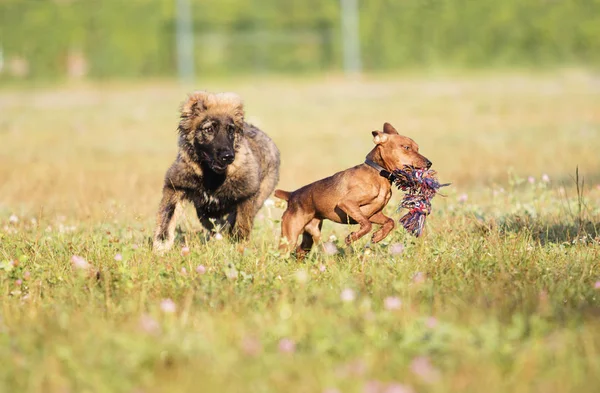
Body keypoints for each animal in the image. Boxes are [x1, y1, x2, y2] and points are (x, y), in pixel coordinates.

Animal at [152, 90, 278, 253]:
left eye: (231, 130)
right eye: (209, 129)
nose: (228, 157)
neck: (212, 176)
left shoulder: (247, 195)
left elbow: (241, 224)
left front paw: (239, 246)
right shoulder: (176, 186)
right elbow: (167, 216)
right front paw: (161, 246)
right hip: (204, 209)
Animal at [274, 123, 434, 258]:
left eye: (417, 148)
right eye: (406, 147)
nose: (429, 163)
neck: (378, 174)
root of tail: (291, 195)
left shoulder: (373, 213)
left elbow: (390, 222)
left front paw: (379, 236)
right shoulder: (347, 204)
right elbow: (367, 225)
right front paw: (352, 238)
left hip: (309, 235)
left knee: (300, 251)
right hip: (290, 236)